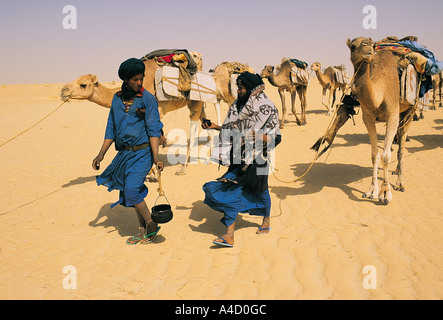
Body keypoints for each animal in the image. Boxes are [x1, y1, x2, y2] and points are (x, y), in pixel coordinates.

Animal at [60, 51, 206, 175]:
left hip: (196, 99)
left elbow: (153, 137)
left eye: (83, 84)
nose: (63, 91)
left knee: (193, 129)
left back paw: (183, 168)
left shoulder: (154, 110)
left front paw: (152, 173)